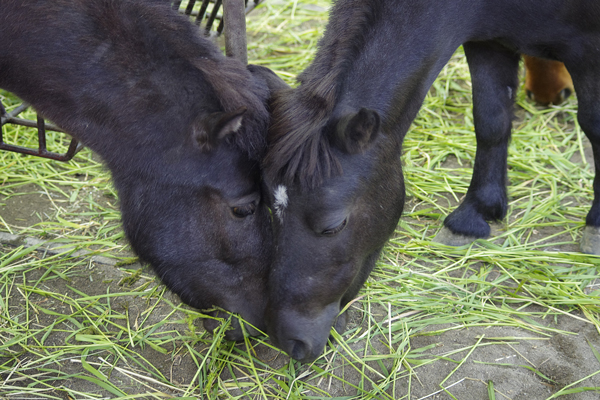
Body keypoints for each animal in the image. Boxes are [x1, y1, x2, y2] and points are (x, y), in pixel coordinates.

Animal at [262, 0, 600, 362]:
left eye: (333, 225)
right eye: (270, 213)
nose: (290, 340)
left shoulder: (588, 47)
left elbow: (592, 123)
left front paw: (596, 223)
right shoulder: (489, 42)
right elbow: (491, 120)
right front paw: (475, 213)